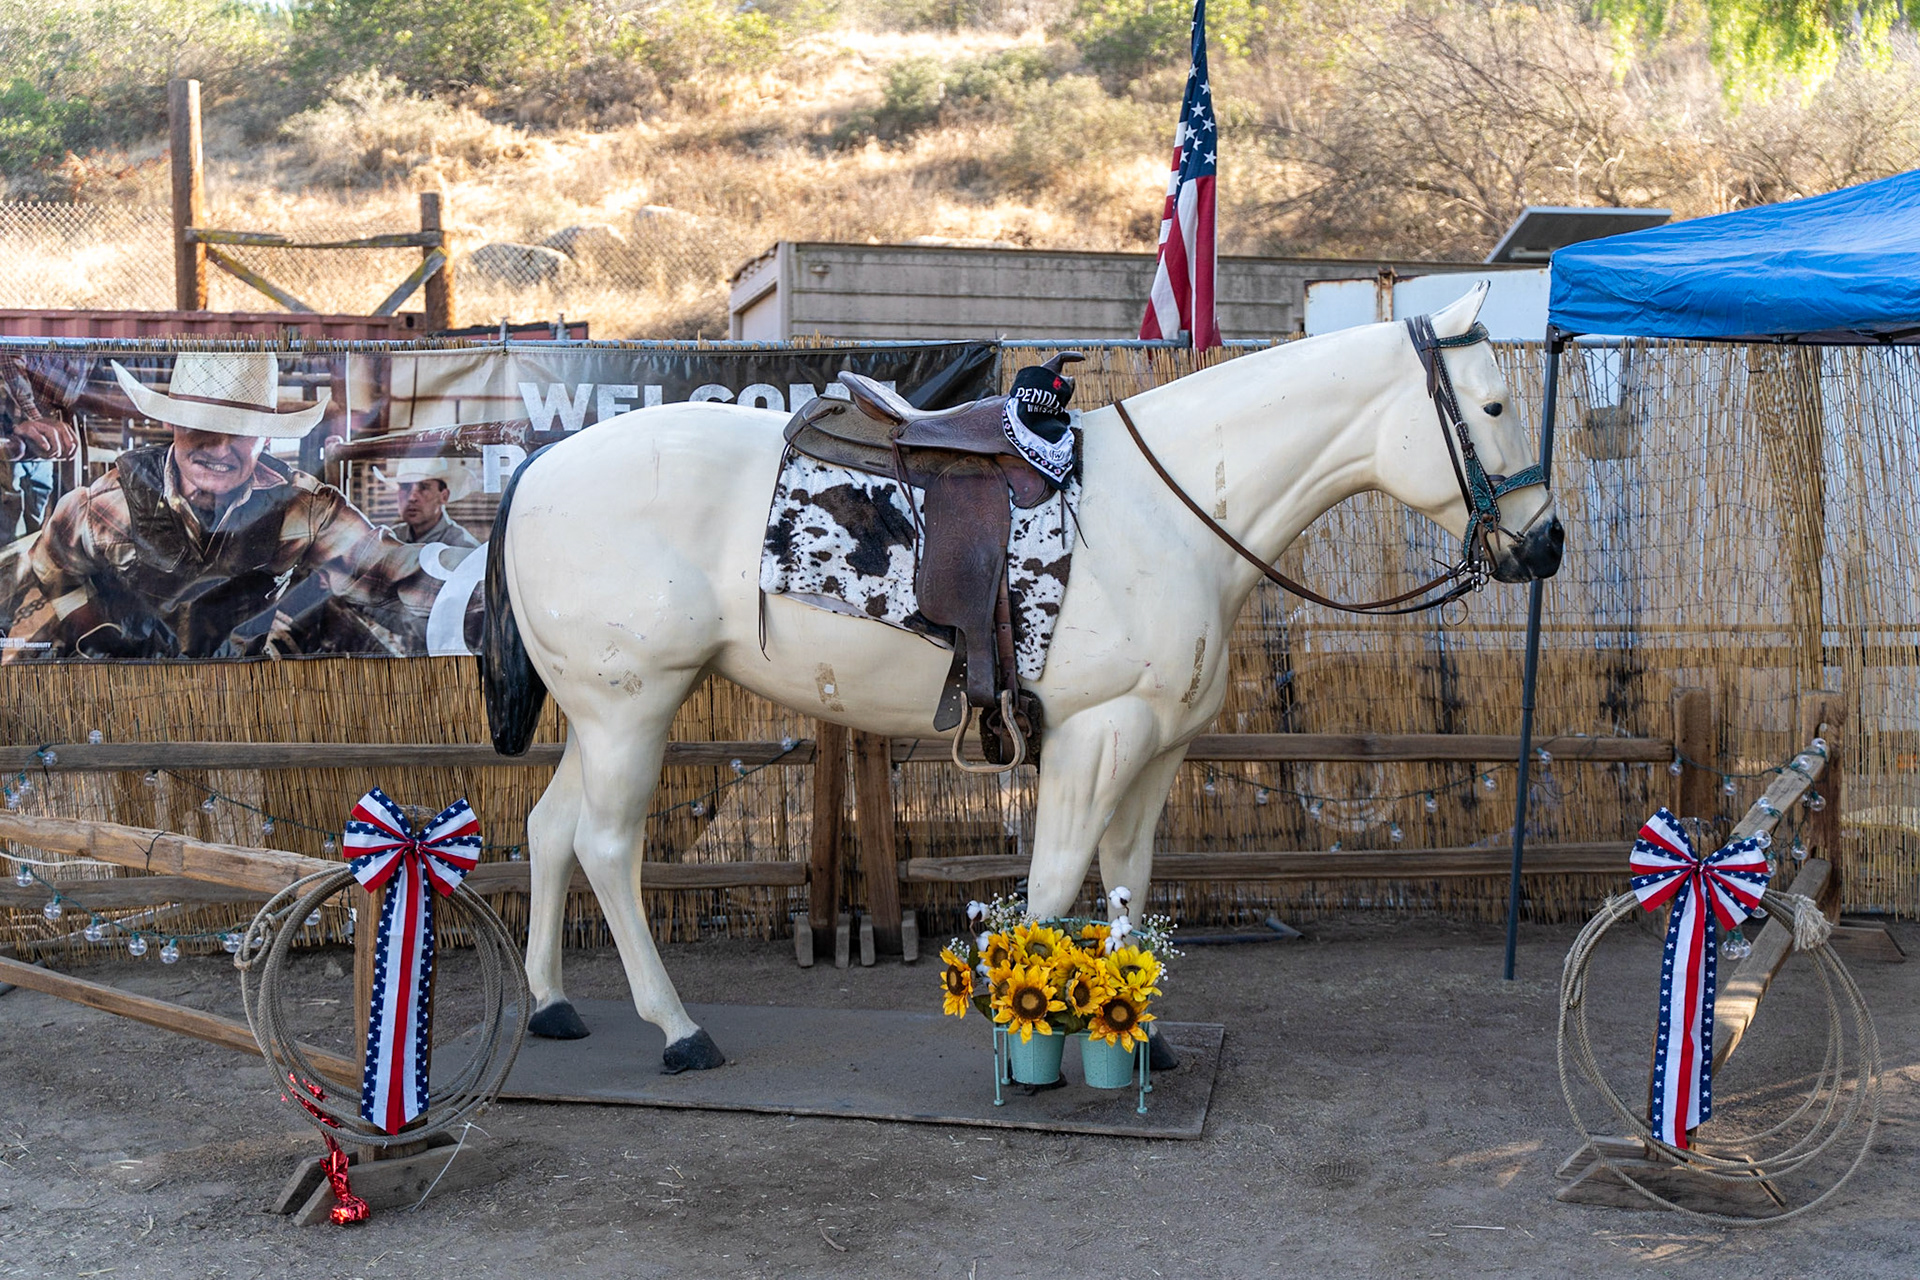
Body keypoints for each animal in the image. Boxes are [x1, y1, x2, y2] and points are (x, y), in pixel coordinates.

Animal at [480, 283, 1564, 1072]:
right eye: (1496, 405)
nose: (1547, 542)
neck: (1169, 511)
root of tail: (538, 468)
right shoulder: (1100, 733)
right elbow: (1051, 886)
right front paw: (1030, 1030)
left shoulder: (1157, 746)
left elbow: (1126, 885)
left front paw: (1140, 1037)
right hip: (633, 707)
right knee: (608, 848)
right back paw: (678, 1030)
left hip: (599, 712)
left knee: (551, 829)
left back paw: (553, 1006)